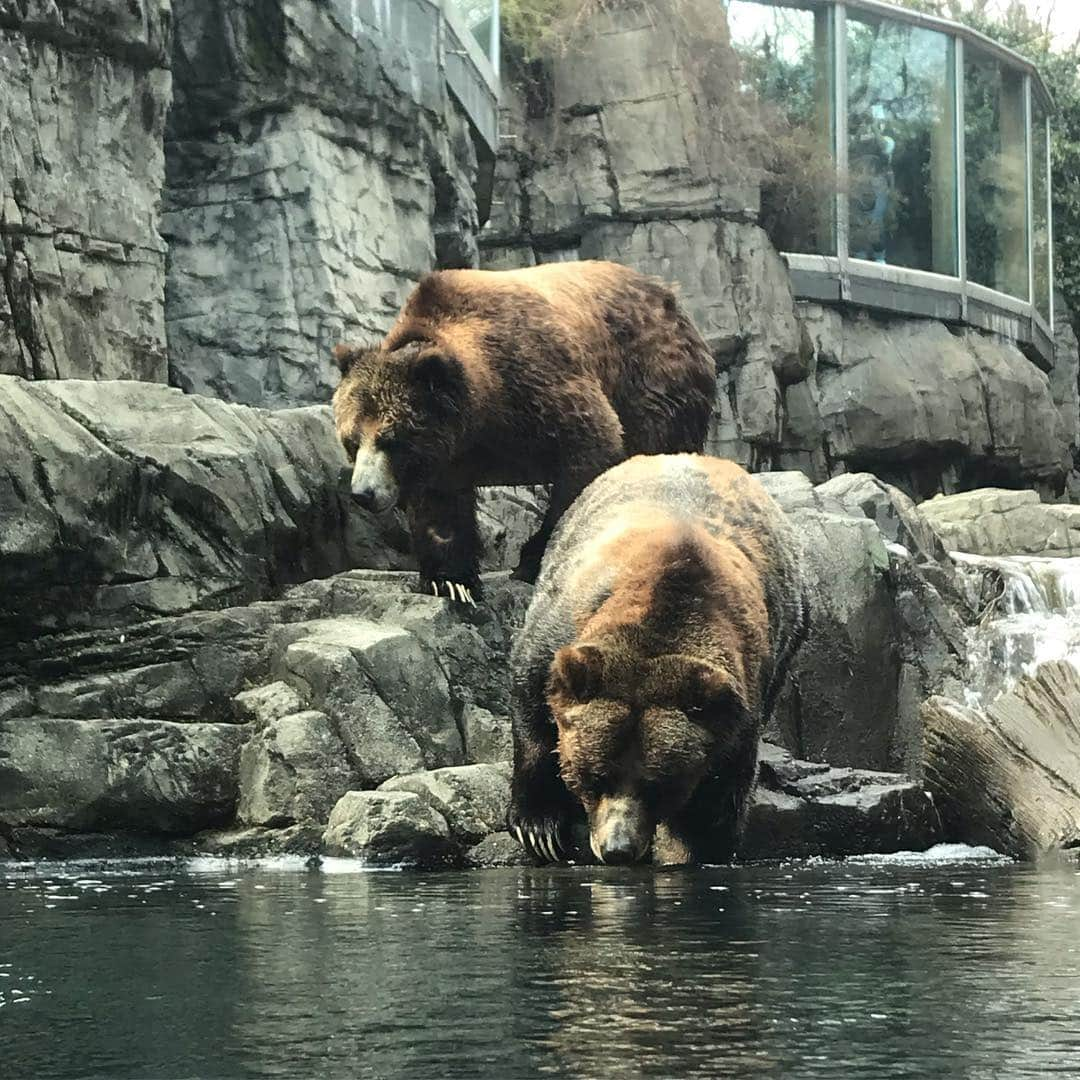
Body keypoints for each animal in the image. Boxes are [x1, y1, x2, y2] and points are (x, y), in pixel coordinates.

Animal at [328, 258, 717, 604]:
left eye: (391, 440)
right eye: (352, 441)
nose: (363, 493)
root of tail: (670, 297)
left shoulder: (537, 381)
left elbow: (590, 449)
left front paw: (534, 559)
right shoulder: (447, 453)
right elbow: (440, 506)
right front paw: (452, 582)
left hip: (652, 377)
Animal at [507, 451, 812, 864]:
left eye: (658, 784)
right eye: (596, 776)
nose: (617, 849)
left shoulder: (739, 706)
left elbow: (715, 804)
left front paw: (691, 848)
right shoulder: (563, 625)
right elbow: (532, 698)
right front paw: (539, 827)